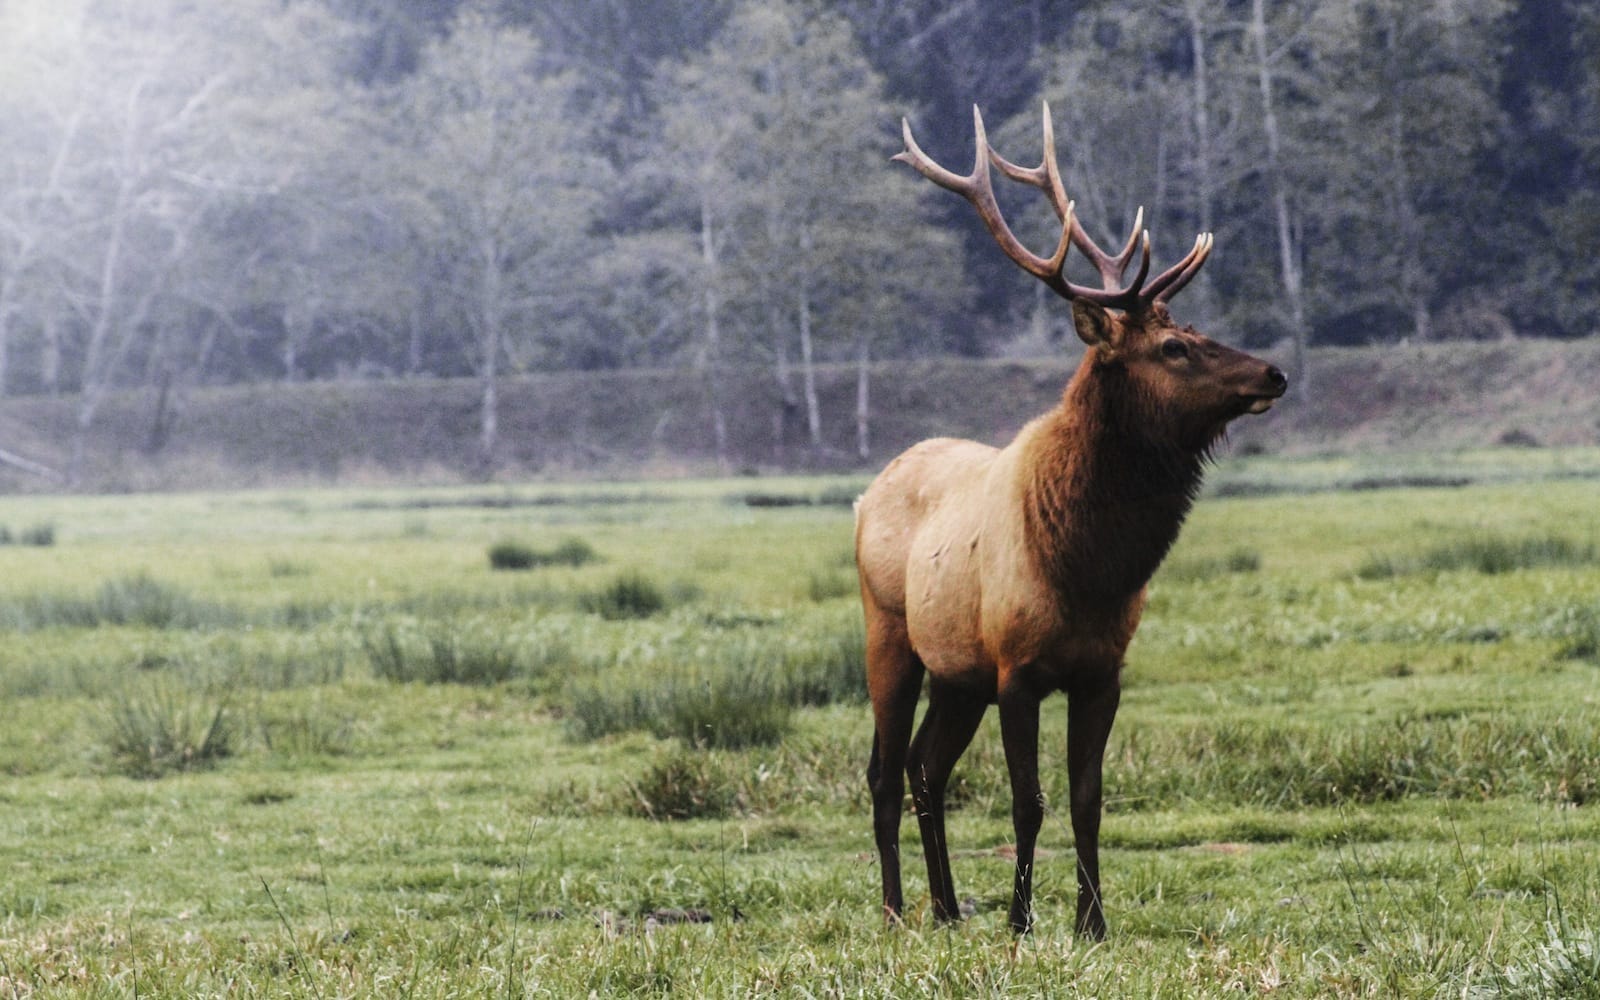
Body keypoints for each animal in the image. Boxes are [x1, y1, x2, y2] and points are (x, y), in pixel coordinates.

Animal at [855, 104, 1287, 939]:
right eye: (1173, 345)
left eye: (1194, 326)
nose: (1274, 372)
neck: (1086, 567)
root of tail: (868, 492)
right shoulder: (1017, 669)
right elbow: (1029, 802)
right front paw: (1021, 919)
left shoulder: (1101, 672)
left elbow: (1088, 800)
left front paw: (1093, 921)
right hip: (890, 633)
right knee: (885, 772)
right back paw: (894, 910)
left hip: (957, 672)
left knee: (927, 766)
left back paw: (947, 908)